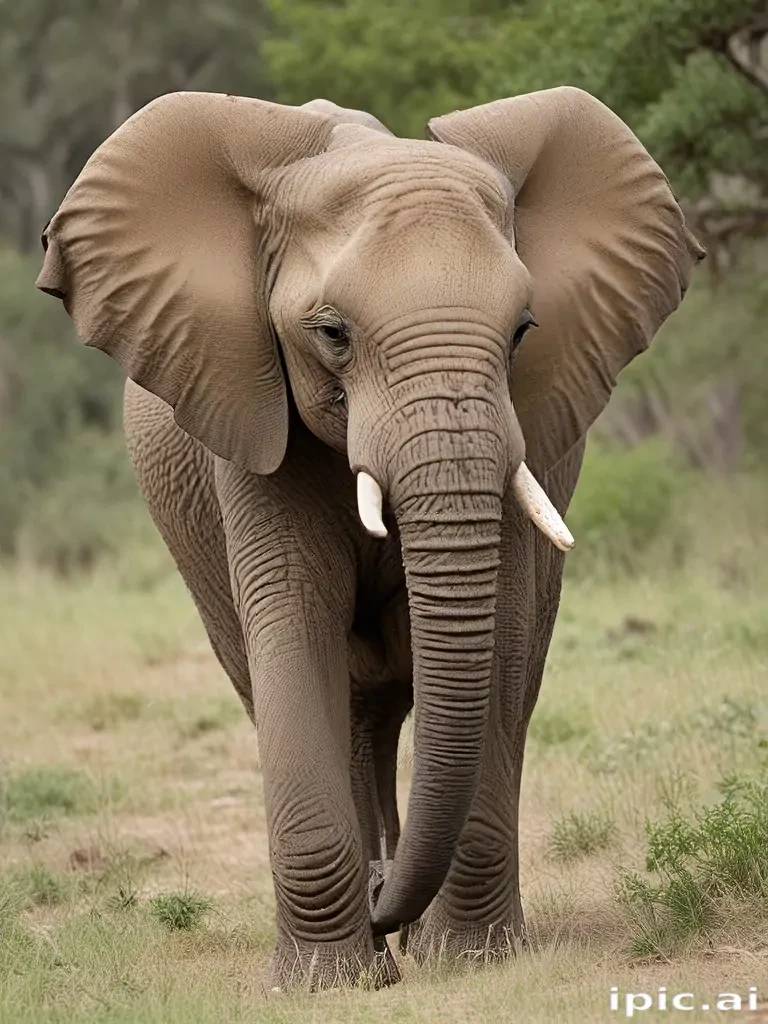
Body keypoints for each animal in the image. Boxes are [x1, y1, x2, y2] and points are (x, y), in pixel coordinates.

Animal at [36, 87, 704, 990]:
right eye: (332, 333)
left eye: (524, 331)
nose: (389, 898)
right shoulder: (249, 416)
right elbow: (292, 624)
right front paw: (330, 982)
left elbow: (502, 638)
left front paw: (468, 959)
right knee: (325, 701)